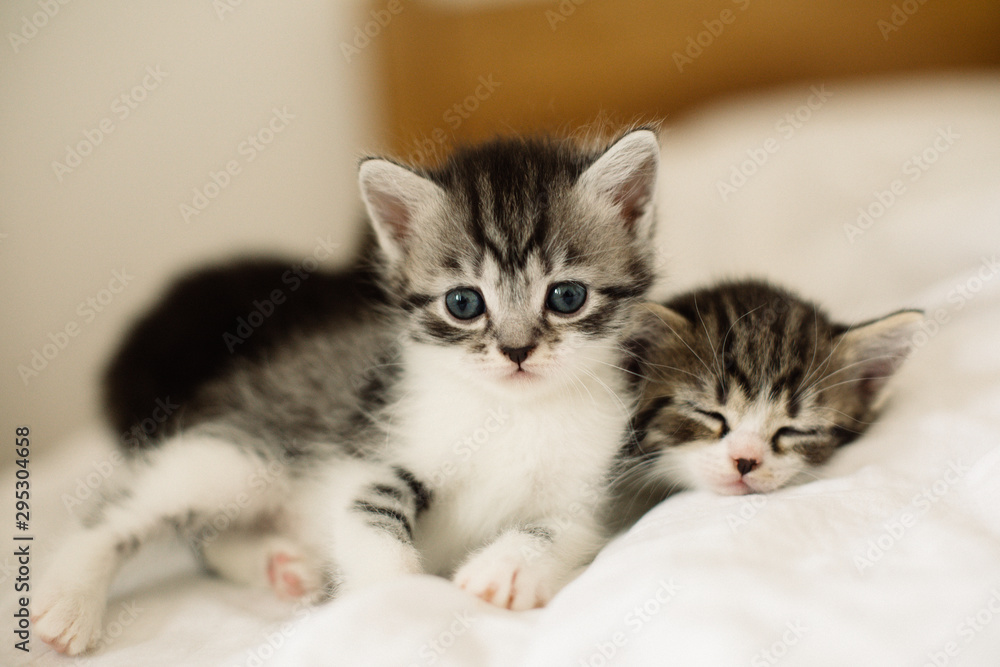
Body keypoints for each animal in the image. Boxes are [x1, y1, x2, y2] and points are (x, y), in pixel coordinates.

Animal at [33, 128, 664, 656]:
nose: (516, 351)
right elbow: (371, 514)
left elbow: (563, 527)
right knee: (125, 512)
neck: (512, 410)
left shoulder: (596, 491)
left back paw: (283, 565)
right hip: (245, 452)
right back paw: (69, 599)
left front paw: (506, 569)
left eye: (566, 297)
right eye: (464, 303)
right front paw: (401, 600)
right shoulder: (378, 452)